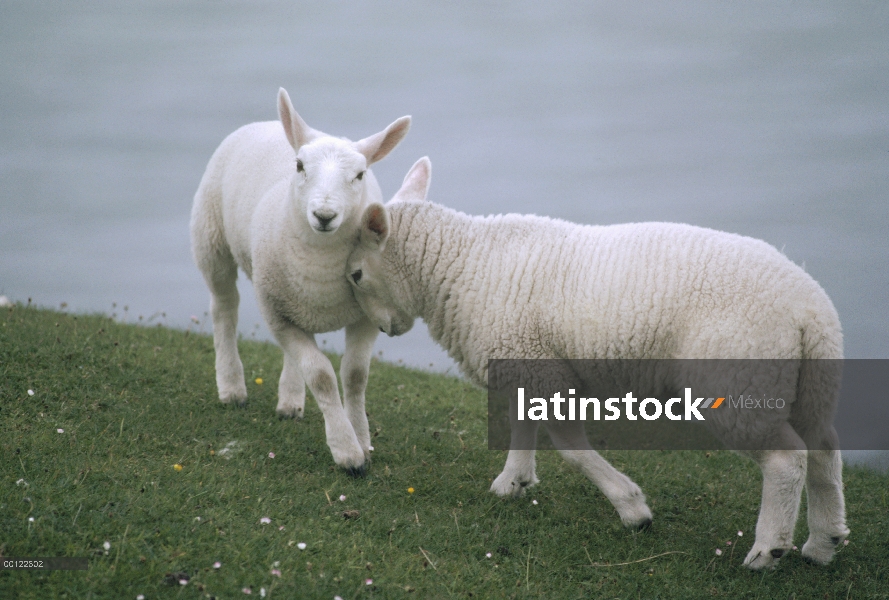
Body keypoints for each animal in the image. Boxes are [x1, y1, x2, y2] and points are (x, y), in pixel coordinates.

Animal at [190, 88, 410, 474]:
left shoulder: (366, 317)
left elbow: (354, 376)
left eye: (360, 175)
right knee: (224, 309)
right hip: (211, 239)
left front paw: (361, 439)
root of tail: (269, 123)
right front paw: (347, 452)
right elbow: (321, 376)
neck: (320, 267)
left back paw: (290, 401)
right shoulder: (277, 315)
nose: (324, 215)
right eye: (299, 166)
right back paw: (231, 387)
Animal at [344, 157, 848, 568]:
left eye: (356, 274)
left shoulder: (542, 368)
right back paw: (823, 543)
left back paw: (768, 549)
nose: (385, 329)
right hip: (807, 381)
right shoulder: (527, 363)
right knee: (824, 447)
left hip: (739, 377)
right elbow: (522, 426)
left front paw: (633, 509)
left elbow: (571, 448)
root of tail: (809, 311)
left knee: (786, 459)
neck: (460, 267)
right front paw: (513, 481)